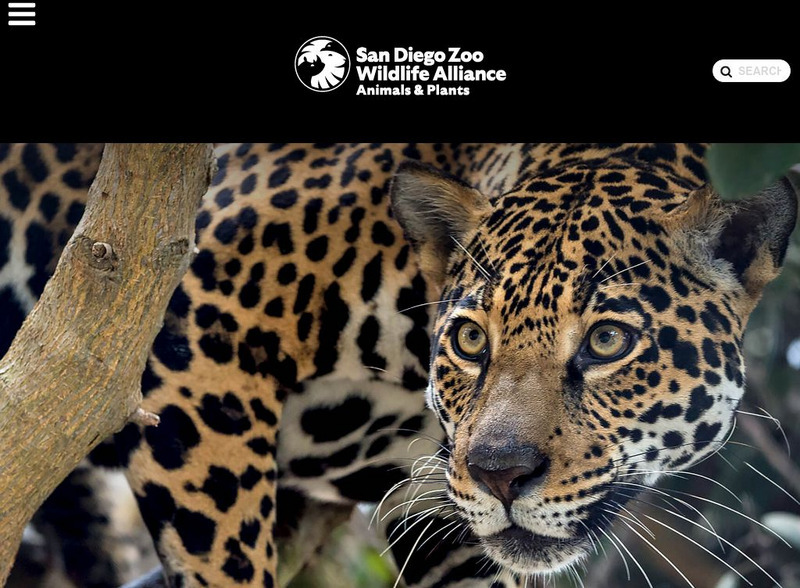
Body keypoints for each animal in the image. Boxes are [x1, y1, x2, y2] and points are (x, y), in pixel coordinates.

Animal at [1, 142, 797, 588]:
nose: (500, 474)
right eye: (471, 340)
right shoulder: (188, 328)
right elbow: (225, 560)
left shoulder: (440, 517)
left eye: (606, 342)